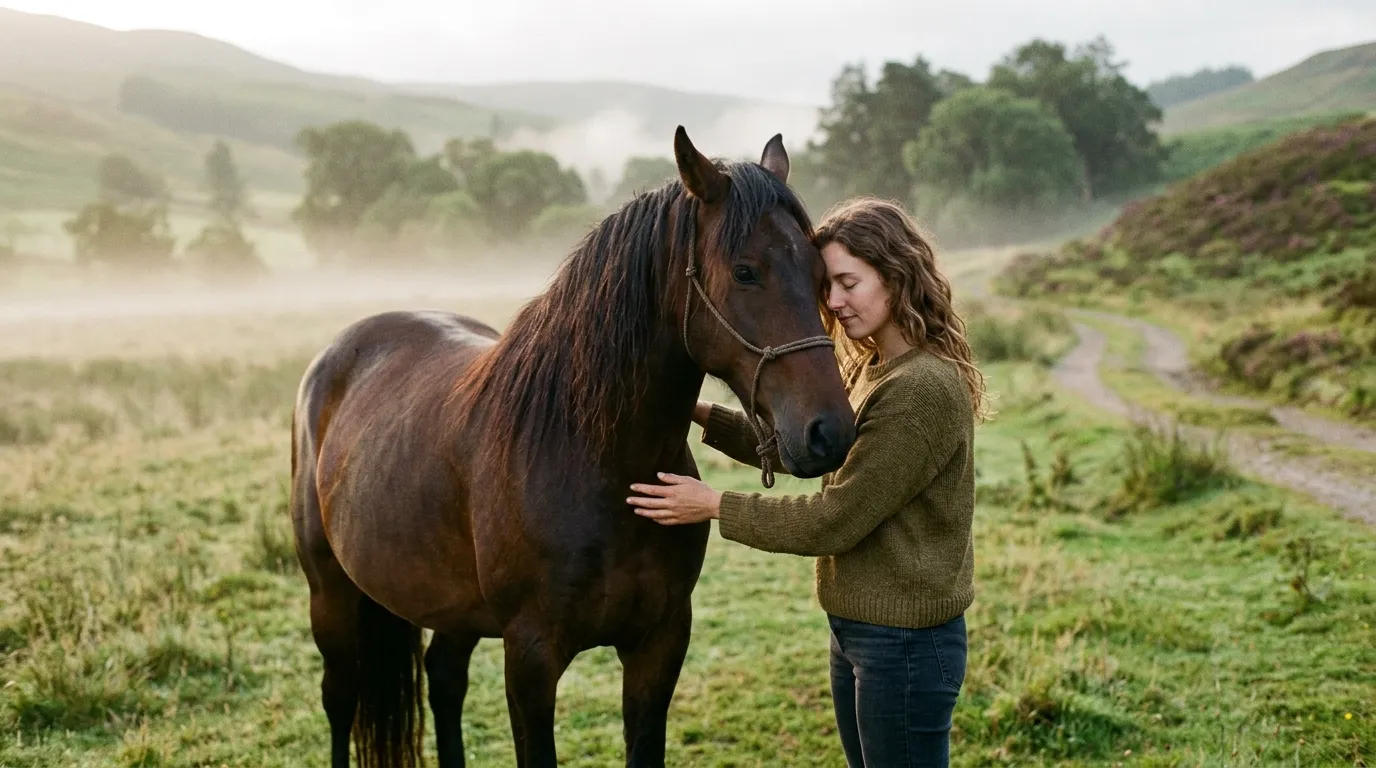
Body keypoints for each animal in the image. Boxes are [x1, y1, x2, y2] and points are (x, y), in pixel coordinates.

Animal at [289, 126, 857, 768]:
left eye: (822, 273)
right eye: (744, 271)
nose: (830, 432)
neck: (597, 463)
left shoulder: (659, 645)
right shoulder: (530, 658)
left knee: (444, 681)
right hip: (330, 593)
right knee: (342, 696)